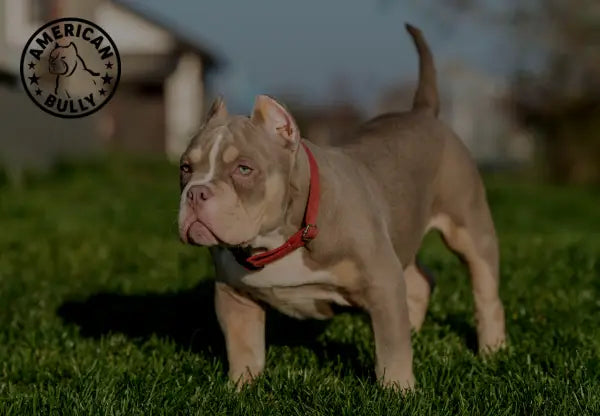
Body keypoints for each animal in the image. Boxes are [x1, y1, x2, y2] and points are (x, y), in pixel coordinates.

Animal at [177, 25, 506, 390]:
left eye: (244, 169)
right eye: (185, 168)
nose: (196, 193)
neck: (281, 236)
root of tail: (423, 112)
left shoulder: (382, 283)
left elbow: (391, 348)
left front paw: (398, 390)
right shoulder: (233, 295)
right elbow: (243, 348)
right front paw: (240, 387)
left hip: (470, 227)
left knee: (485, 291)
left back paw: (493, 351)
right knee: (421, 278)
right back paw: (417, 328)